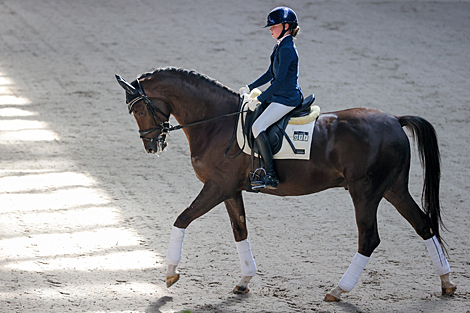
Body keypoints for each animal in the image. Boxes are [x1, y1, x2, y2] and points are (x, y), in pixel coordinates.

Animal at [115, 67, 458, 300]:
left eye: (141, 109)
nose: (152, 145)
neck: (216, 121)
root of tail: (395, 120)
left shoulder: (216, 187)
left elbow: (182, 219)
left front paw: (170, 274)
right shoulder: (230, 189)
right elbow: (240, 230)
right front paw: (244, 280)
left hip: (366, 192)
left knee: (369, 238)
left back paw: (338, 290)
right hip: (393, 188)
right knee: (423, 224)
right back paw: (447, 283)